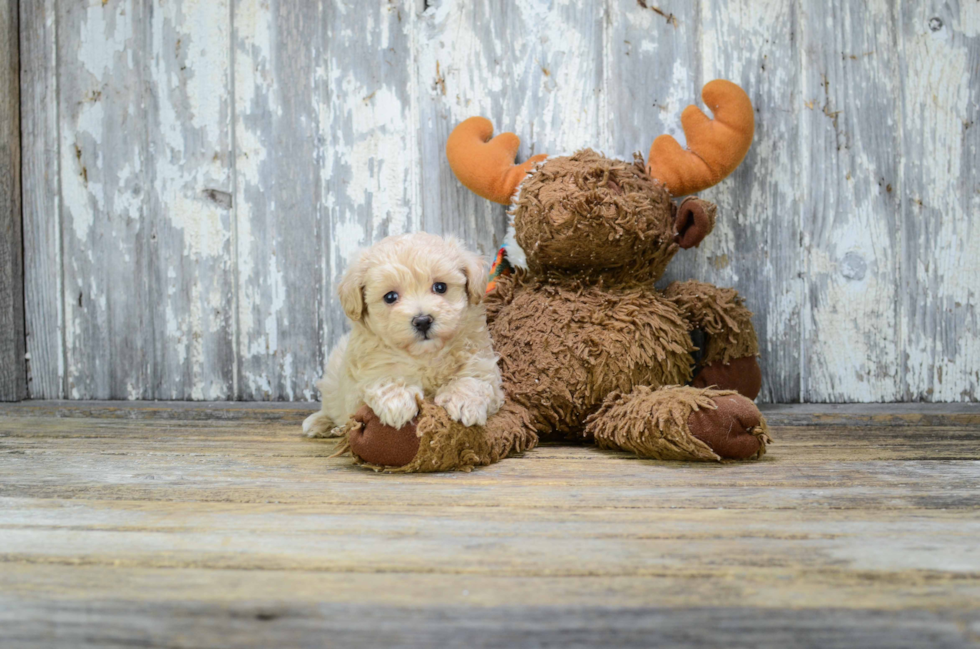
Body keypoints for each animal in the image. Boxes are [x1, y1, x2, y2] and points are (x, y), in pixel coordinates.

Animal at [302, 232, 506, 436]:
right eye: (390, 297)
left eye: (440, 287)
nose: (422, 321)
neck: (425, 356)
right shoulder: (363, 375)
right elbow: (382, 377)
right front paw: (398, 403)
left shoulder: (482, 361)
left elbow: (473, 378)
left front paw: (463, 401)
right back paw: (318, 422)